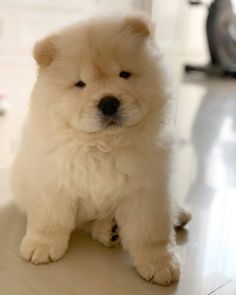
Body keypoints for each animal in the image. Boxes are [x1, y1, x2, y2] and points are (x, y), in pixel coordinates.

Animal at [11, 13, 192, 286]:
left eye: (124, 74)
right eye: (80, 84)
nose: (108, 102)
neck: (103, 147)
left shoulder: (147, 190)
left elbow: (150, 232)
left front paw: (160, 264)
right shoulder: (53, 182)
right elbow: (50, 220)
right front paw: (41, 247)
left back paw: (177, 215)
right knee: (86, 223)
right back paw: (109, 230)